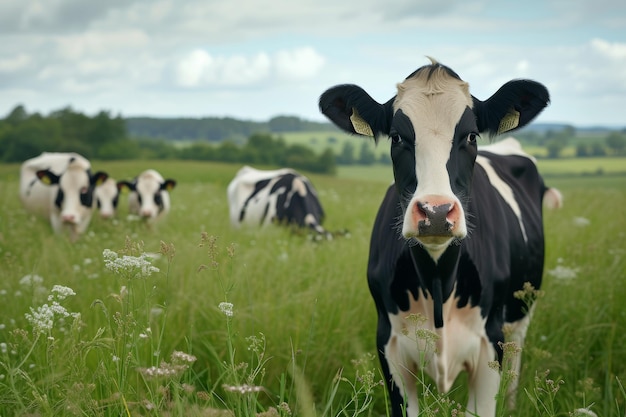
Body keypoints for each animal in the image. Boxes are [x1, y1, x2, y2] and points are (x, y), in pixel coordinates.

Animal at [320, 57, 560, 416]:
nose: (435, 212)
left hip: (520, 318)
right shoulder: (388, 344)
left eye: (471, 135)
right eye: (396, 137)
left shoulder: (490, 344)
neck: (437, 282)